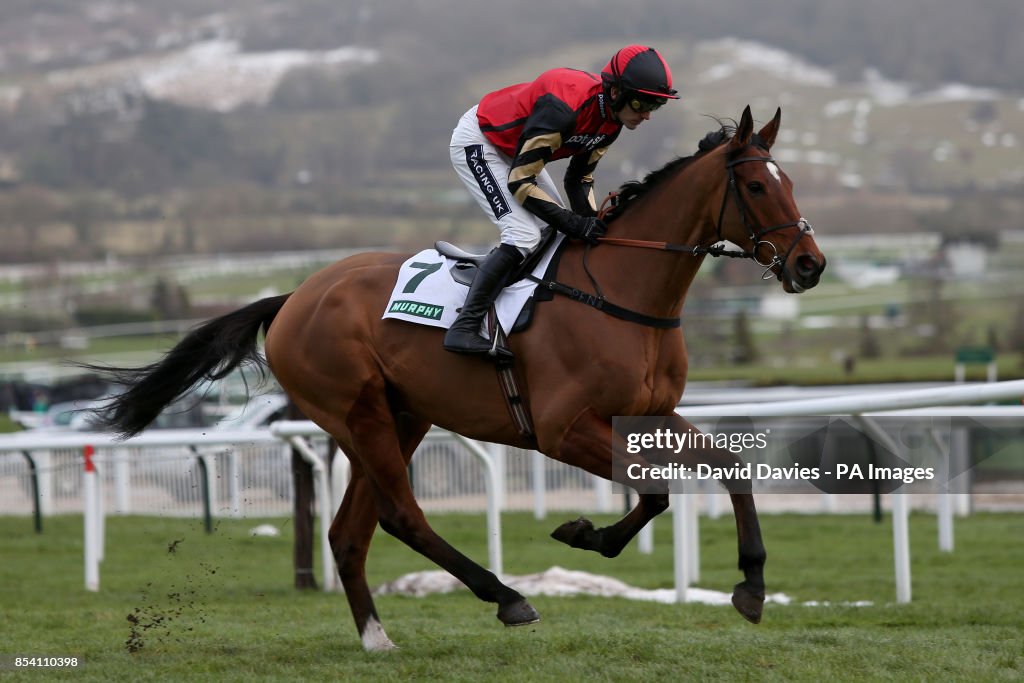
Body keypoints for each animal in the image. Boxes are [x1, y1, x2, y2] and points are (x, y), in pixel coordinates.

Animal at [95, 106, 826, 651]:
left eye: (791, 182)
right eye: (757, 187)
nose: (810, 264)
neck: (620, 292)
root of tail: (295, 297)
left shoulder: (648, 413)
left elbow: (729, 467)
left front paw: (751, 586)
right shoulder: (561, 430)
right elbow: (653, 493)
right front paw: (582, 534)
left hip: (402, 415)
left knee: (351, 531)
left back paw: (377, 638)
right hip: (357, 412)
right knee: (401, 515)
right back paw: (506, 597)